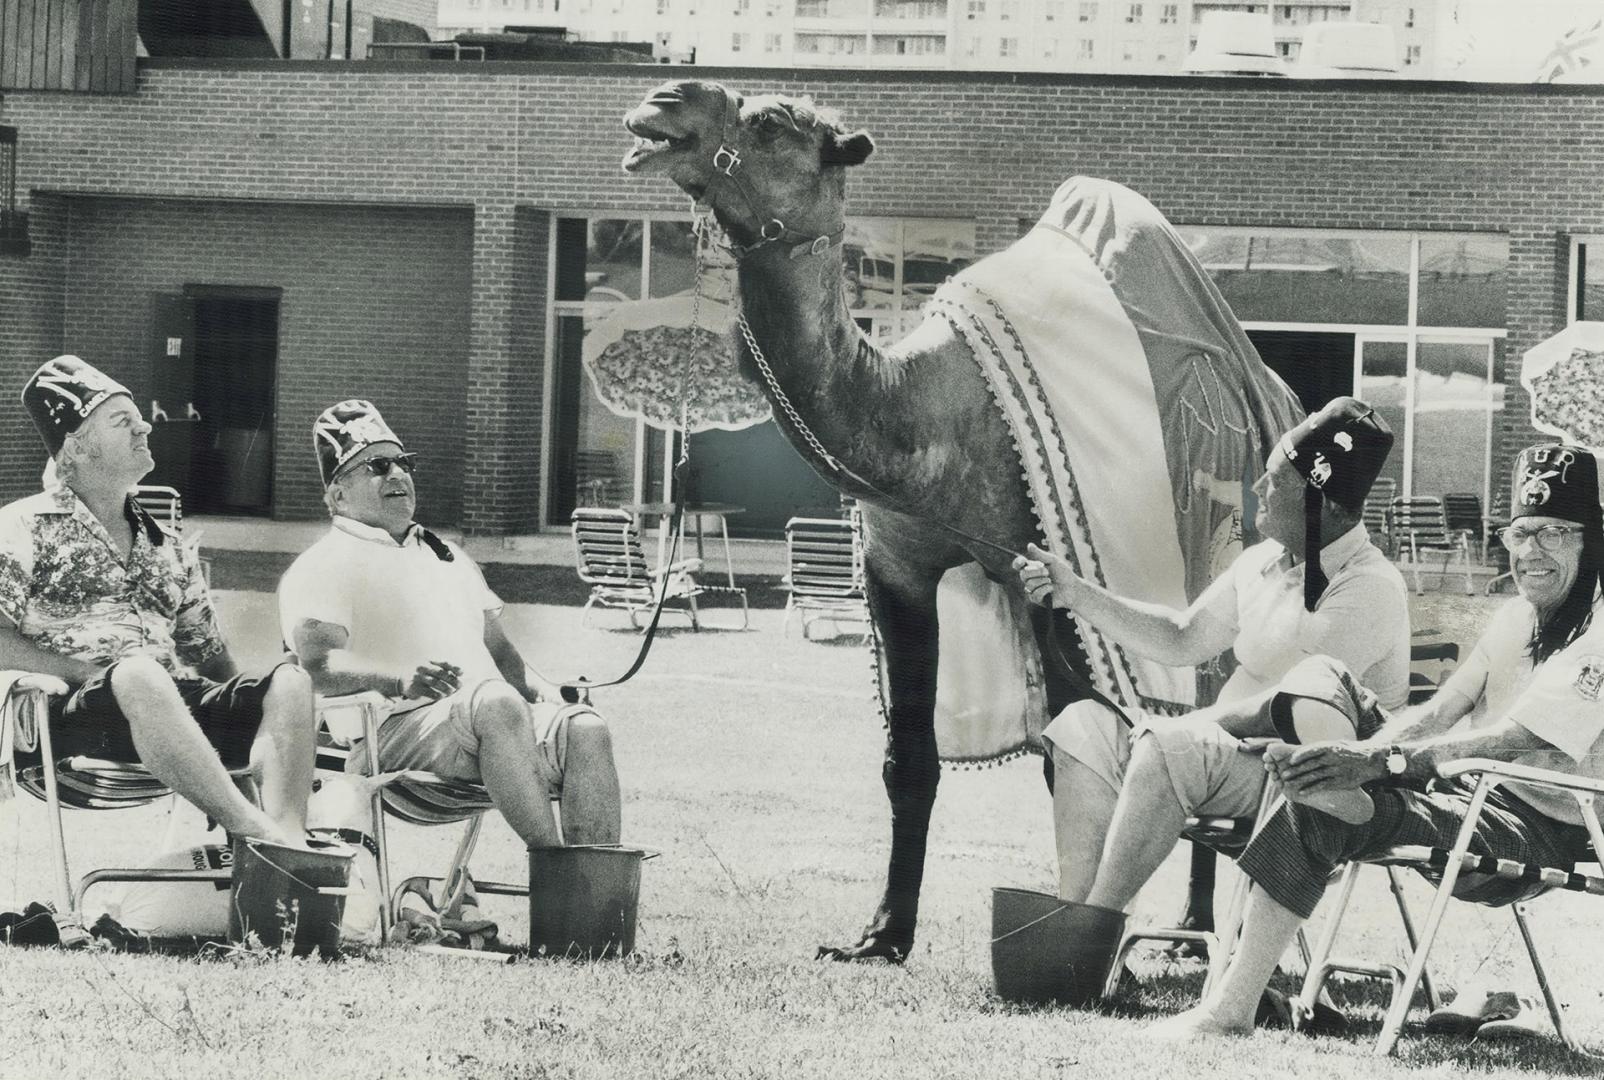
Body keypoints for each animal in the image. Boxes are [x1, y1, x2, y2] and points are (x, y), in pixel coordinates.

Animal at [619, 82, 1296, 962]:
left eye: (770, 124)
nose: (660, 101)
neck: (919, 421)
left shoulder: (1052, 576)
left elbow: (1068, 754)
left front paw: (1074, 933)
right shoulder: (897, 570)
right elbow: (908, 757)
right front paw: (880, 935)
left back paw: (1193, 926)